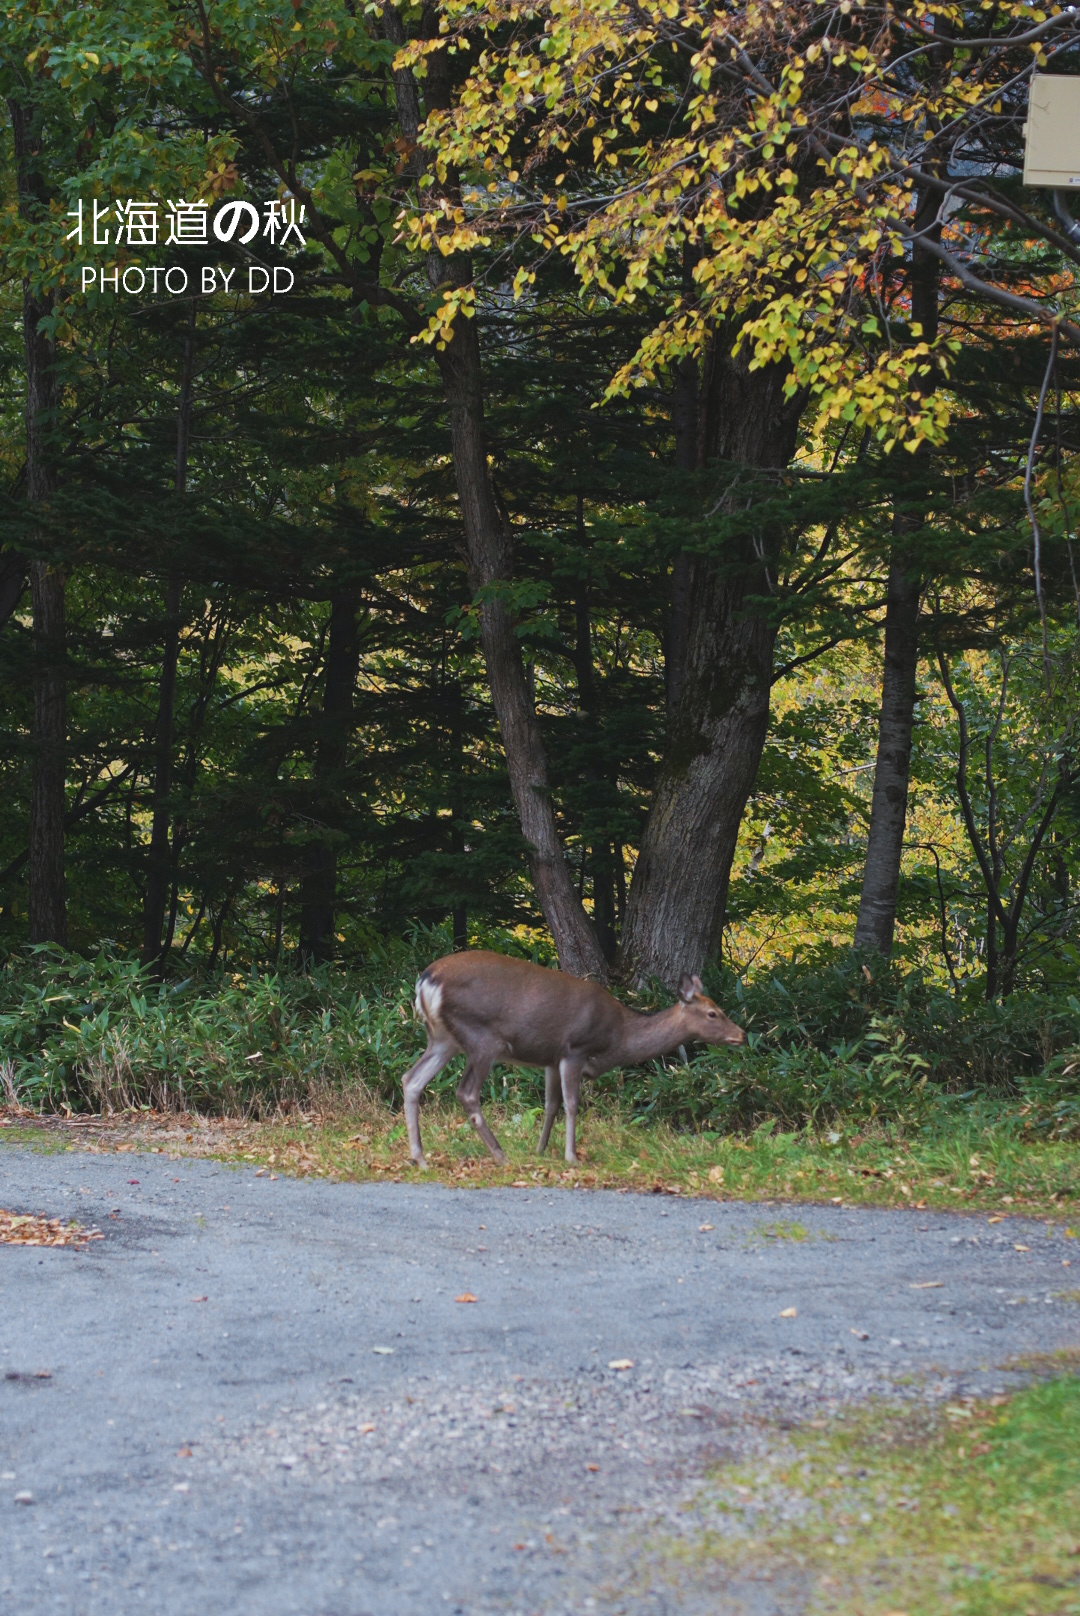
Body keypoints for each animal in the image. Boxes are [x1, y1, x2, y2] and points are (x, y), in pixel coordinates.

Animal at [400, 950, 746, 1169]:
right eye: (713, 1013)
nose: (741, 1035)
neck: (618, 1037)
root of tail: (426, 980)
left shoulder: (550, 1059)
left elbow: (551, 1104)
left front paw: (540, 1150)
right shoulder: (574, 1050)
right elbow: (572, 1104)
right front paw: (571, 1156)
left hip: (443, 1040)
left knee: (411, 1079)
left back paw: (420, 1158)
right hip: (481, 1037)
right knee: (466, 1092)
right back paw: (500, 1155)